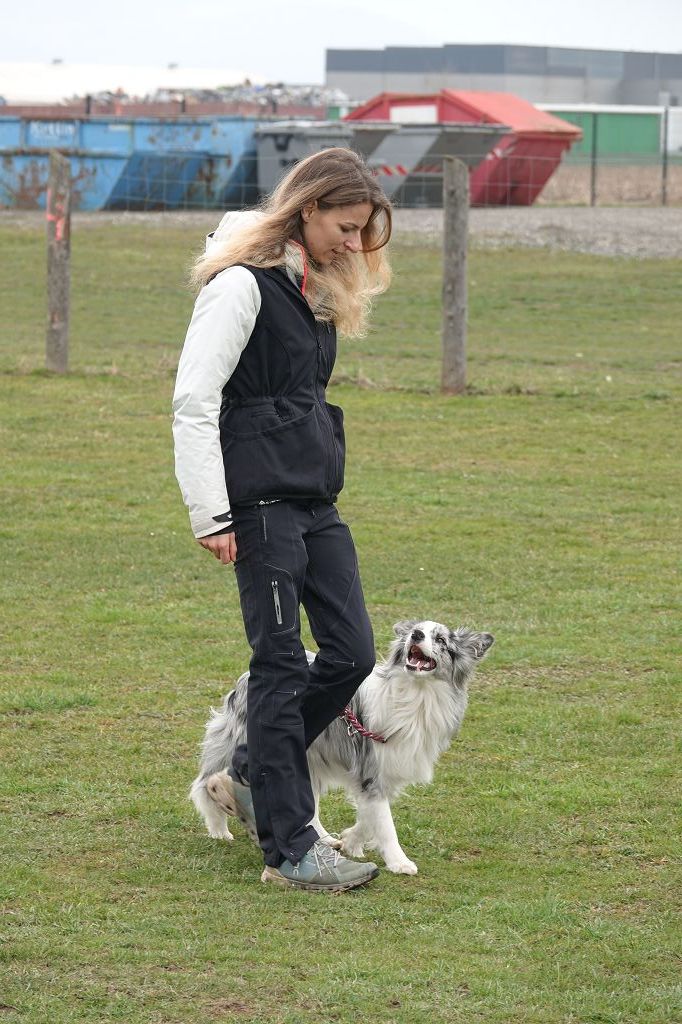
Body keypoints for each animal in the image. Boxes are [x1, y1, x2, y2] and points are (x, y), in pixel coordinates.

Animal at [190, 620, 494, 874]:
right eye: (415, 631)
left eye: (440, 639)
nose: (416, 635)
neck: (417, 694)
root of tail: (247, 677)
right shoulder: (371, 768)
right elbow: (384, 822)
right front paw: (399, 862)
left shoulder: (389, 770)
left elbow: (371, 816)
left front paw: (350, 841)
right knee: (206, 783)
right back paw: (218, 827)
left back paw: (323, 839)